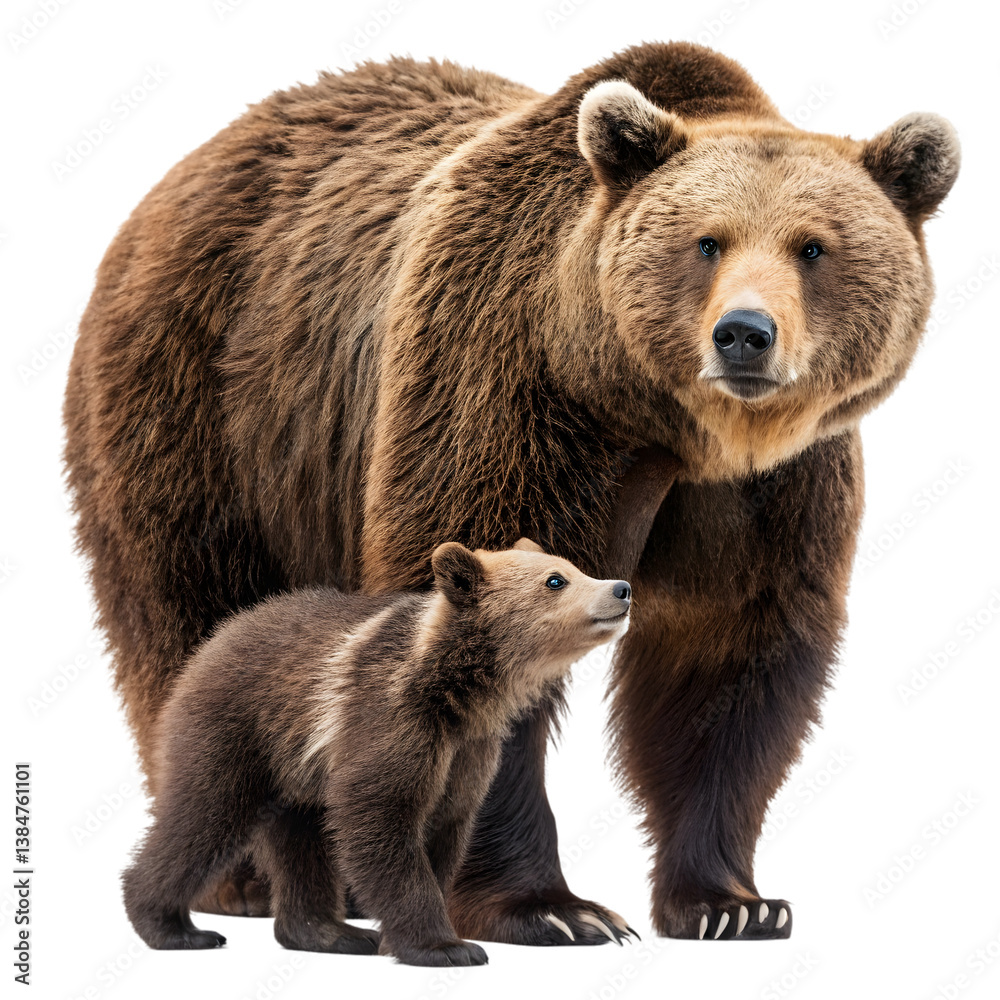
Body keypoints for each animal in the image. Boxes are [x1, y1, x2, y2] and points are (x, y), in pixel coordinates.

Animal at [122, 539, 634, 966]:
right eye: (556, 579)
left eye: (574, 566)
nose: (622, 588)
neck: (457, 690)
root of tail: (213, 640)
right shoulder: (389, 719)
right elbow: (381, 818)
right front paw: (445, 946)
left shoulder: (469, 753)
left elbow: (445, 830)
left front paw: (405, 935)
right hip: (236, 730)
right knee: (204, 817)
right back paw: (174, 926)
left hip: (298, 770)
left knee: (300, 841)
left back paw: (332, 933)